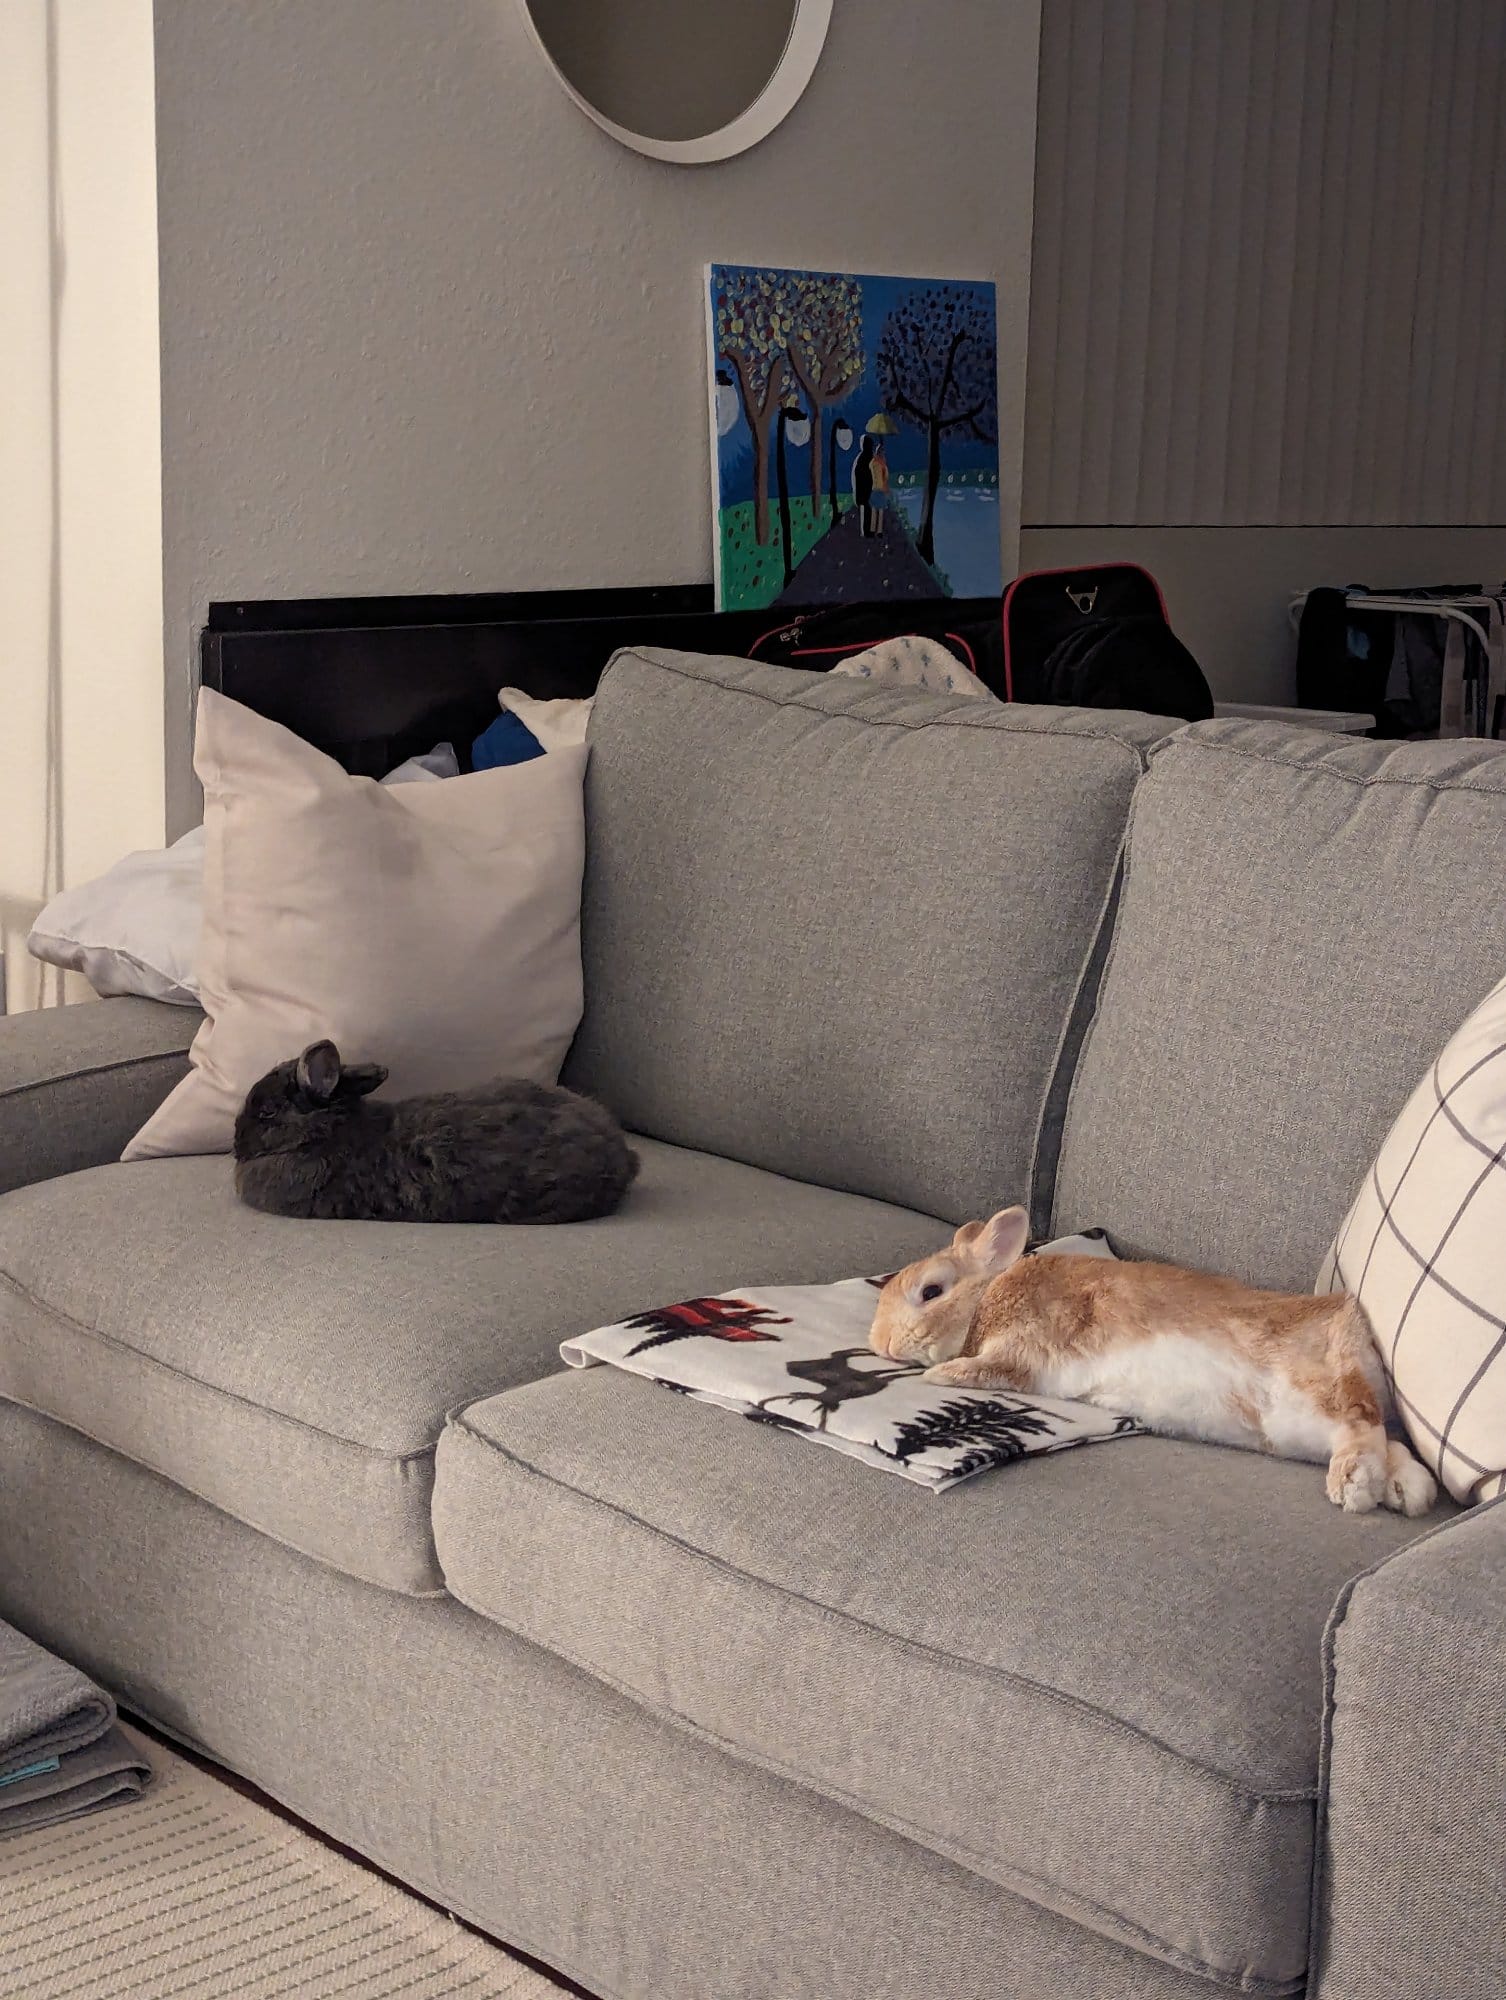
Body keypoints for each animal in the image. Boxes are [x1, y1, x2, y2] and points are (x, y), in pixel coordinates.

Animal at [868, 1200, 1432, 1512]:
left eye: (931, 1291)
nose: (880, 1344)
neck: (989, 1296)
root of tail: (1357, 1335)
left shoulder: (1024, 1348)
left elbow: (990, 1369)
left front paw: (943, 1374)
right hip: (1294, 1426)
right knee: (1383, 1438)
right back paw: (1409, 1491)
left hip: (1315, 1384)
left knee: (1360, 1419)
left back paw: (1355, 1485)